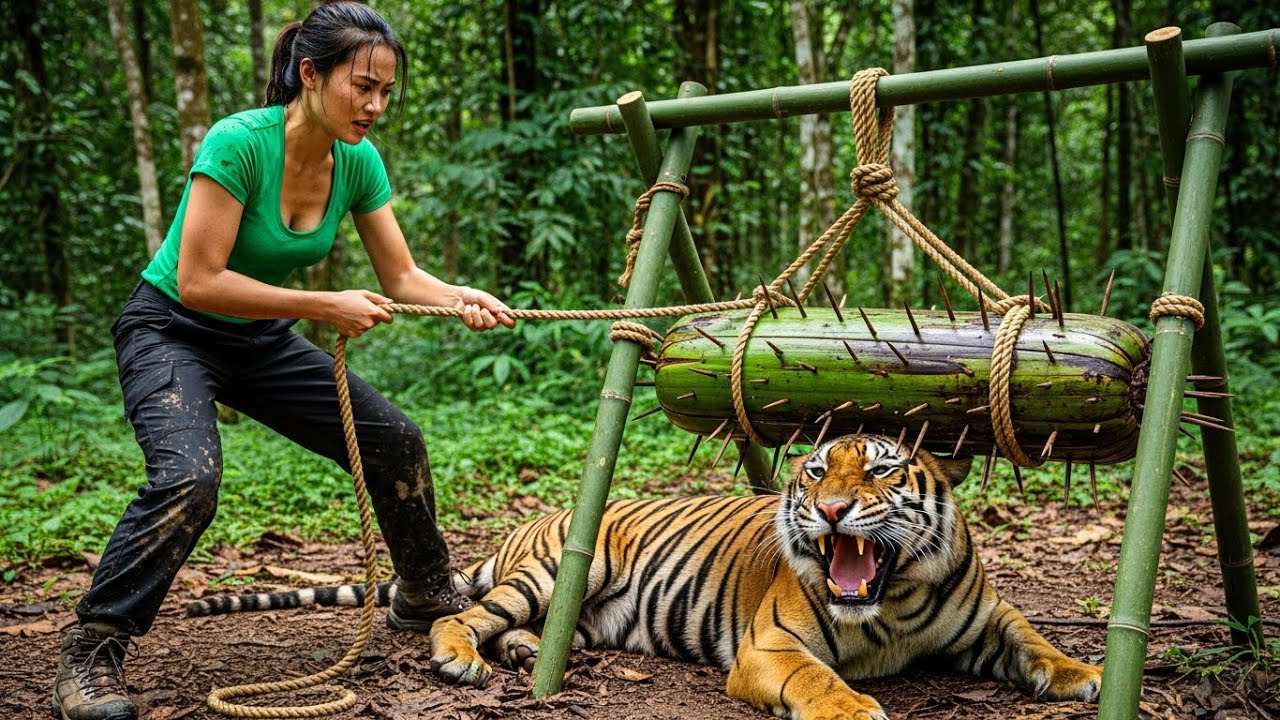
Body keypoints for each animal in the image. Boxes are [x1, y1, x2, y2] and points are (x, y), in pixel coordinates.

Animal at [187, 434, 1101, 719]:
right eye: (814, 471)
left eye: (877, 471)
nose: (831, 510)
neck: (896, 600)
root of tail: (534, 519)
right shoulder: (770, 648)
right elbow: (818, 676)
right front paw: (852, 706)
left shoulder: (985, 616)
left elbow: (1032, 638)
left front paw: (1083, 673)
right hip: (557, 568)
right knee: (465, 615)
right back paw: (464, 659)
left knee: (517, 626)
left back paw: (524, 655)